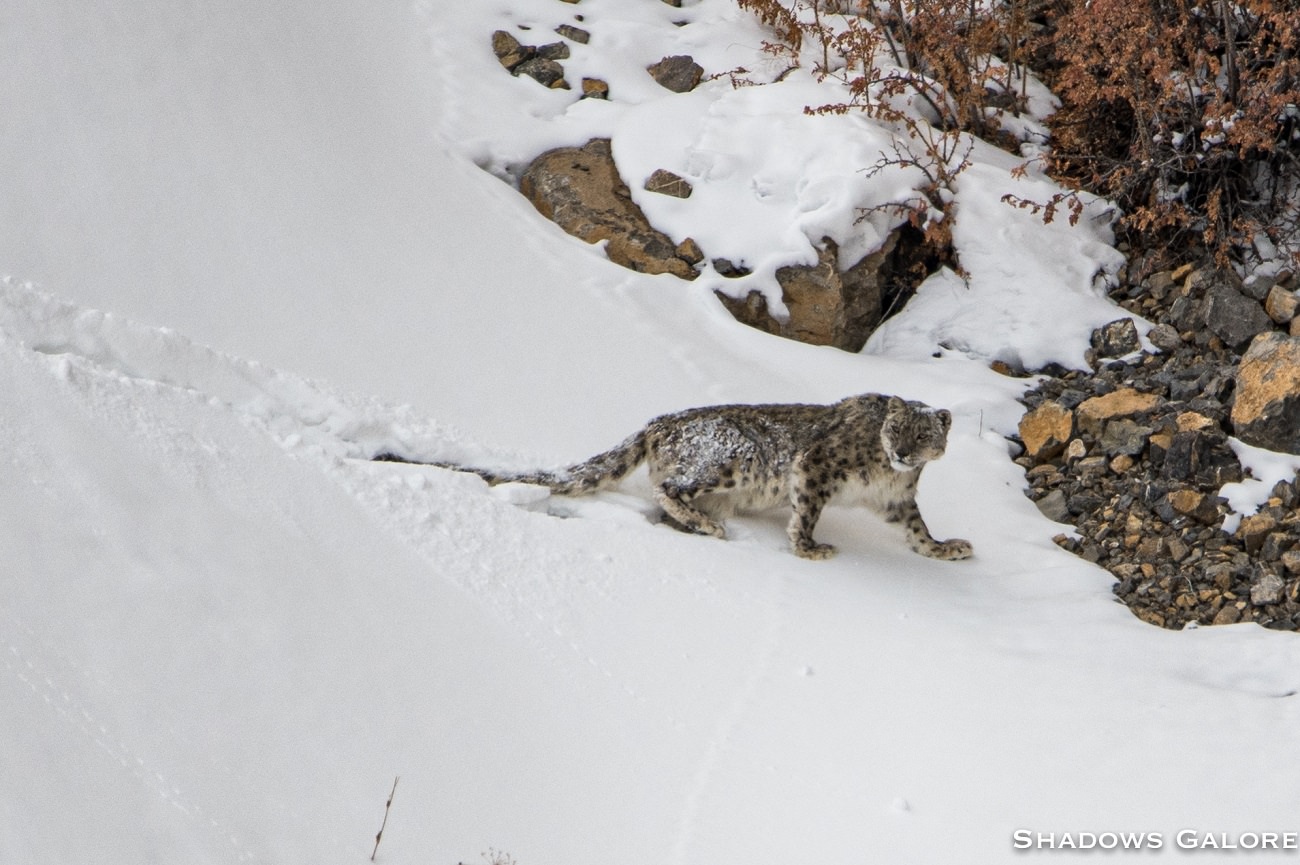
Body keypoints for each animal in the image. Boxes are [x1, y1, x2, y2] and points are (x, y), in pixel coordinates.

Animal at [371, 390, 972, 559]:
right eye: (895, 427)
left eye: (924, 436)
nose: (901, 452)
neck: (886, 476)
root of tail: (660, 421)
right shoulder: (816, 468)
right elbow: (806, 512)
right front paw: (810, 548)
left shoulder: (897, 501)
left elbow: (917, 529)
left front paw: (946, 548)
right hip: (733, 457)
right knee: (669, 487)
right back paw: (709, 527)